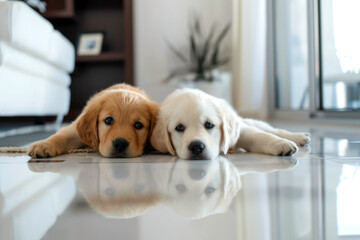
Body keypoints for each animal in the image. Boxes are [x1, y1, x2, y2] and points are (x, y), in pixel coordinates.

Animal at [28, 83, 158, 158]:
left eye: (138, 125)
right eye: (108, 120)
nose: (120, 143)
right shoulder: (75, 129)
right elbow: (62, 136)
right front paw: (44, 145)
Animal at [150, 88, 310, 159]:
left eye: (209, 125)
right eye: (179, 128)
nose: (196, 147)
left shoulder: (240, 131)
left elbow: (258, 135)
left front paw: (280, 143)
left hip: (245, 121)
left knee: (269, 129)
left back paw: (299, 136)